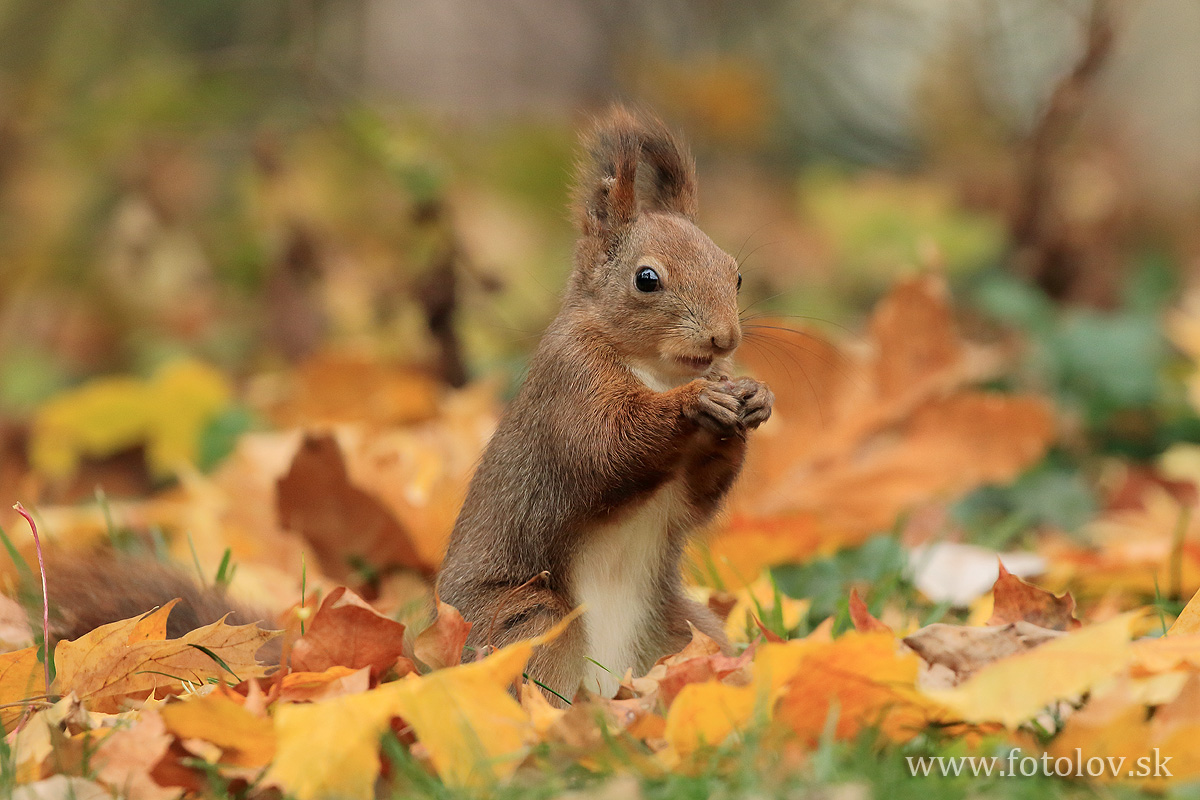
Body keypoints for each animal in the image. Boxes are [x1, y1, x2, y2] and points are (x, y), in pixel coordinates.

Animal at [436, 104, 772, 700]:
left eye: (735, 273)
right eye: (647, 279)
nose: (724, 339)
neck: (657, 372)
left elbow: (698, 493)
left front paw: (754, 398)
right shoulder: (571, 383)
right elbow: (607, 445)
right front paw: (693, 402)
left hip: (683, 630)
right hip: (525, 620)